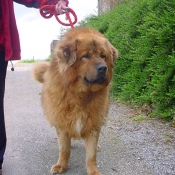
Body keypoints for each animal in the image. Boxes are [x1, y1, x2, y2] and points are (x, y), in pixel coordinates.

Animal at [32, 27, 117, 175]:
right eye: (86, 56)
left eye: (103, 56)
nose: (103, 68)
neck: (81, 94)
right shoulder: (62, 123)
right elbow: (64, 150)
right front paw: (61, 165)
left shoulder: (93, 124)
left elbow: (91, 154)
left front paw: (93, 171)